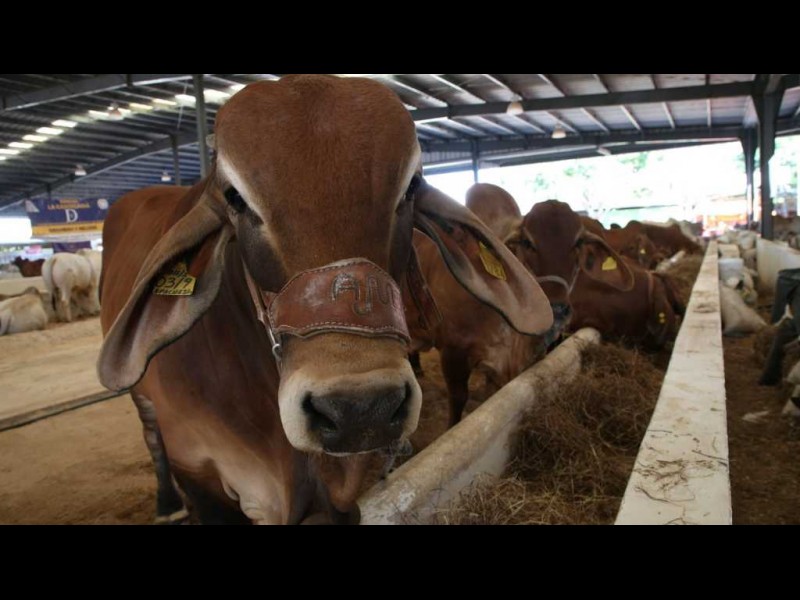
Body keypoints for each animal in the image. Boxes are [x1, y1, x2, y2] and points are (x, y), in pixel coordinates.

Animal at [96, 75, 553, 525]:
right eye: (234, 198)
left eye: (411, 188)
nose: (360, 409)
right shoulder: (198, 472)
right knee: (151, 436)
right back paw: (166, 504)